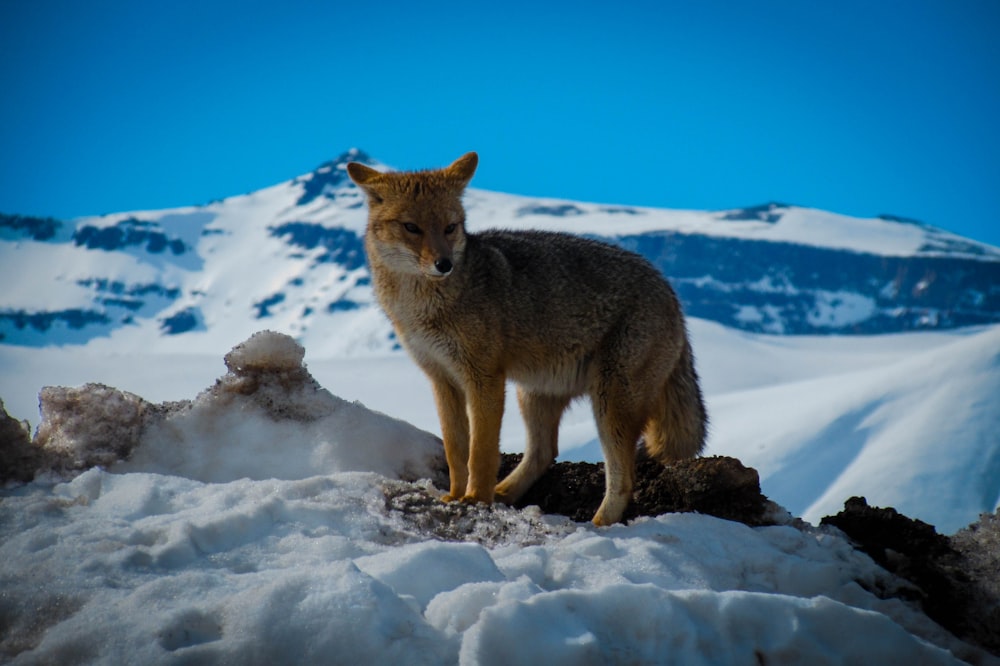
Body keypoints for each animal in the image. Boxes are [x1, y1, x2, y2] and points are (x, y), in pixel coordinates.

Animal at [348, 152, 708, 524]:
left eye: (450, 228)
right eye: (412, 227)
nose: (443, 264)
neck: (424, 306)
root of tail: (670, 292)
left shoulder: (484, 378)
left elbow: (481, 451)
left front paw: (476, 499)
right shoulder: (442, 380)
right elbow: (455, 450)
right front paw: (455, 496)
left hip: (609, 407)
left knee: (623, 479)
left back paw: (597, 524)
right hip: (535, 395)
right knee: (544, 452)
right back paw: (504, 492)